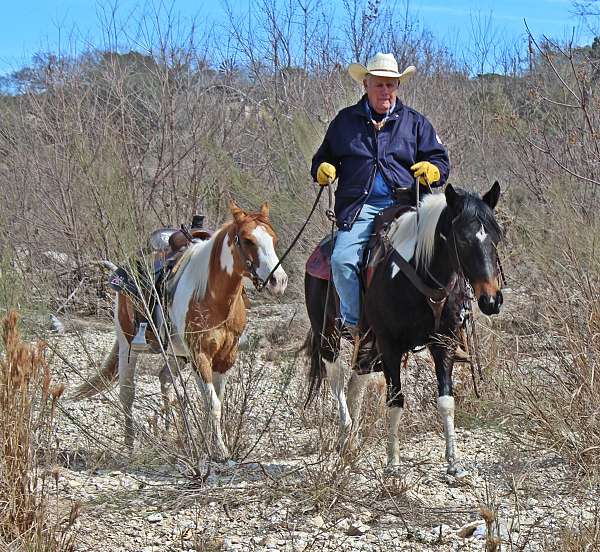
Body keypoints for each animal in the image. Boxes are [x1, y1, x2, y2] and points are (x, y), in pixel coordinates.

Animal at [75, 201, 288, 460]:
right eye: (247, 240)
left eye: (273, 239)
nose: (279, 281)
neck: (212, 295)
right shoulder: (199, 355)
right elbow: (213, 404)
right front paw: (220, 450)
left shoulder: (226, 356)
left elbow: (215, 400)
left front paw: (209, 445)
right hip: (128, 345)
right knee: (127, 392)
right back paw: (130, 446)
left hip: (177, 355)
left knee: (165, 379)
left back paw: (168, 432)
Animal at [308, 182, 504, 474]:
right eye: (462, 239)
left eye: (496, 237)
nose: (491, 300)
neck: (419, 275)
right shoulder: (390, 346)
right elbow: (395, 401)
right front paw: (393, 462)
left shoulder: (443, 343)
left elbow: (446, 401)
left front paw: (453, 461)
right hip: (328, 336)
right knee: (337, 379)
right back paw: (345, 434)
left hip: (367, 345)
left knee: (356, 382)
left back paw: (352, 440)